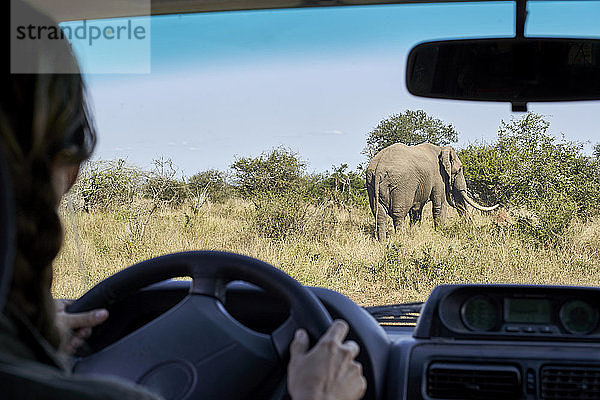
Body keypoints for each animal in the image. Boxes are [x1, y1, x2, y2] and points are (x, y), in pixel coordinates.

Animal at [364, 143, 500, 241]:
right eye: (459, 170)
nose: (472, 228)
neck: (441, 149)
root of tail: (379, 168)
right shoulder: (438, 176)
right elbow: (440, 205)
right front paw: (440, 234)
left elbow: (416, 210)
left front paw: (415, 233)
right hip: (401, 185)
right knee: (399, 214)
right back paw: (400, 240)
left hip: (371, 183)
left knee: (379, 214)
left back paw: (382, 242)